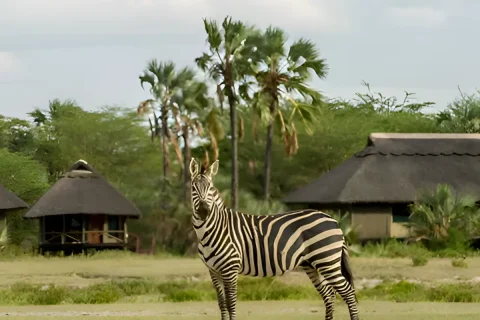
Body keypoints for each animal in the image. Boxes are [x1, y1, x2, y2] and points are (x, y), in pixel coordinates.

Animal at [189, 158, 358, 320]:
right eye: (193, 188)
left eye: (210, 188)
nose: (204, 211)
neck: (212, 230)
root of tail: (333, 220)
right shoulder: (213, 270)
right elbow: (222, 303)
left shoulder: (230, 268)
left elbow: (231, 303)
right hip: (312, 264)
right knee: (329, 295)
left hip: (327, 261)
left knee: (348, 293)